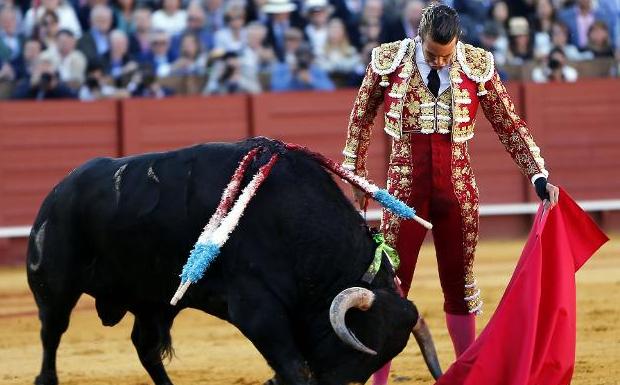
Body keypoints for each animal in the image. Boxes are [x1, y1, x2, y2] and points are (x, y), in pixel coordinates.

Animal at [25, 137, 440, 384]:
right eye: (356, 344)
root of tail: (59, 190)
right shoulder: (257, 310)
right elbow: (295, 367)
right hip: (55, 287)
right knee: (51, 333)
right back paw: (46, 378)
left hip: (154, 300)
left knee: (145, 347)